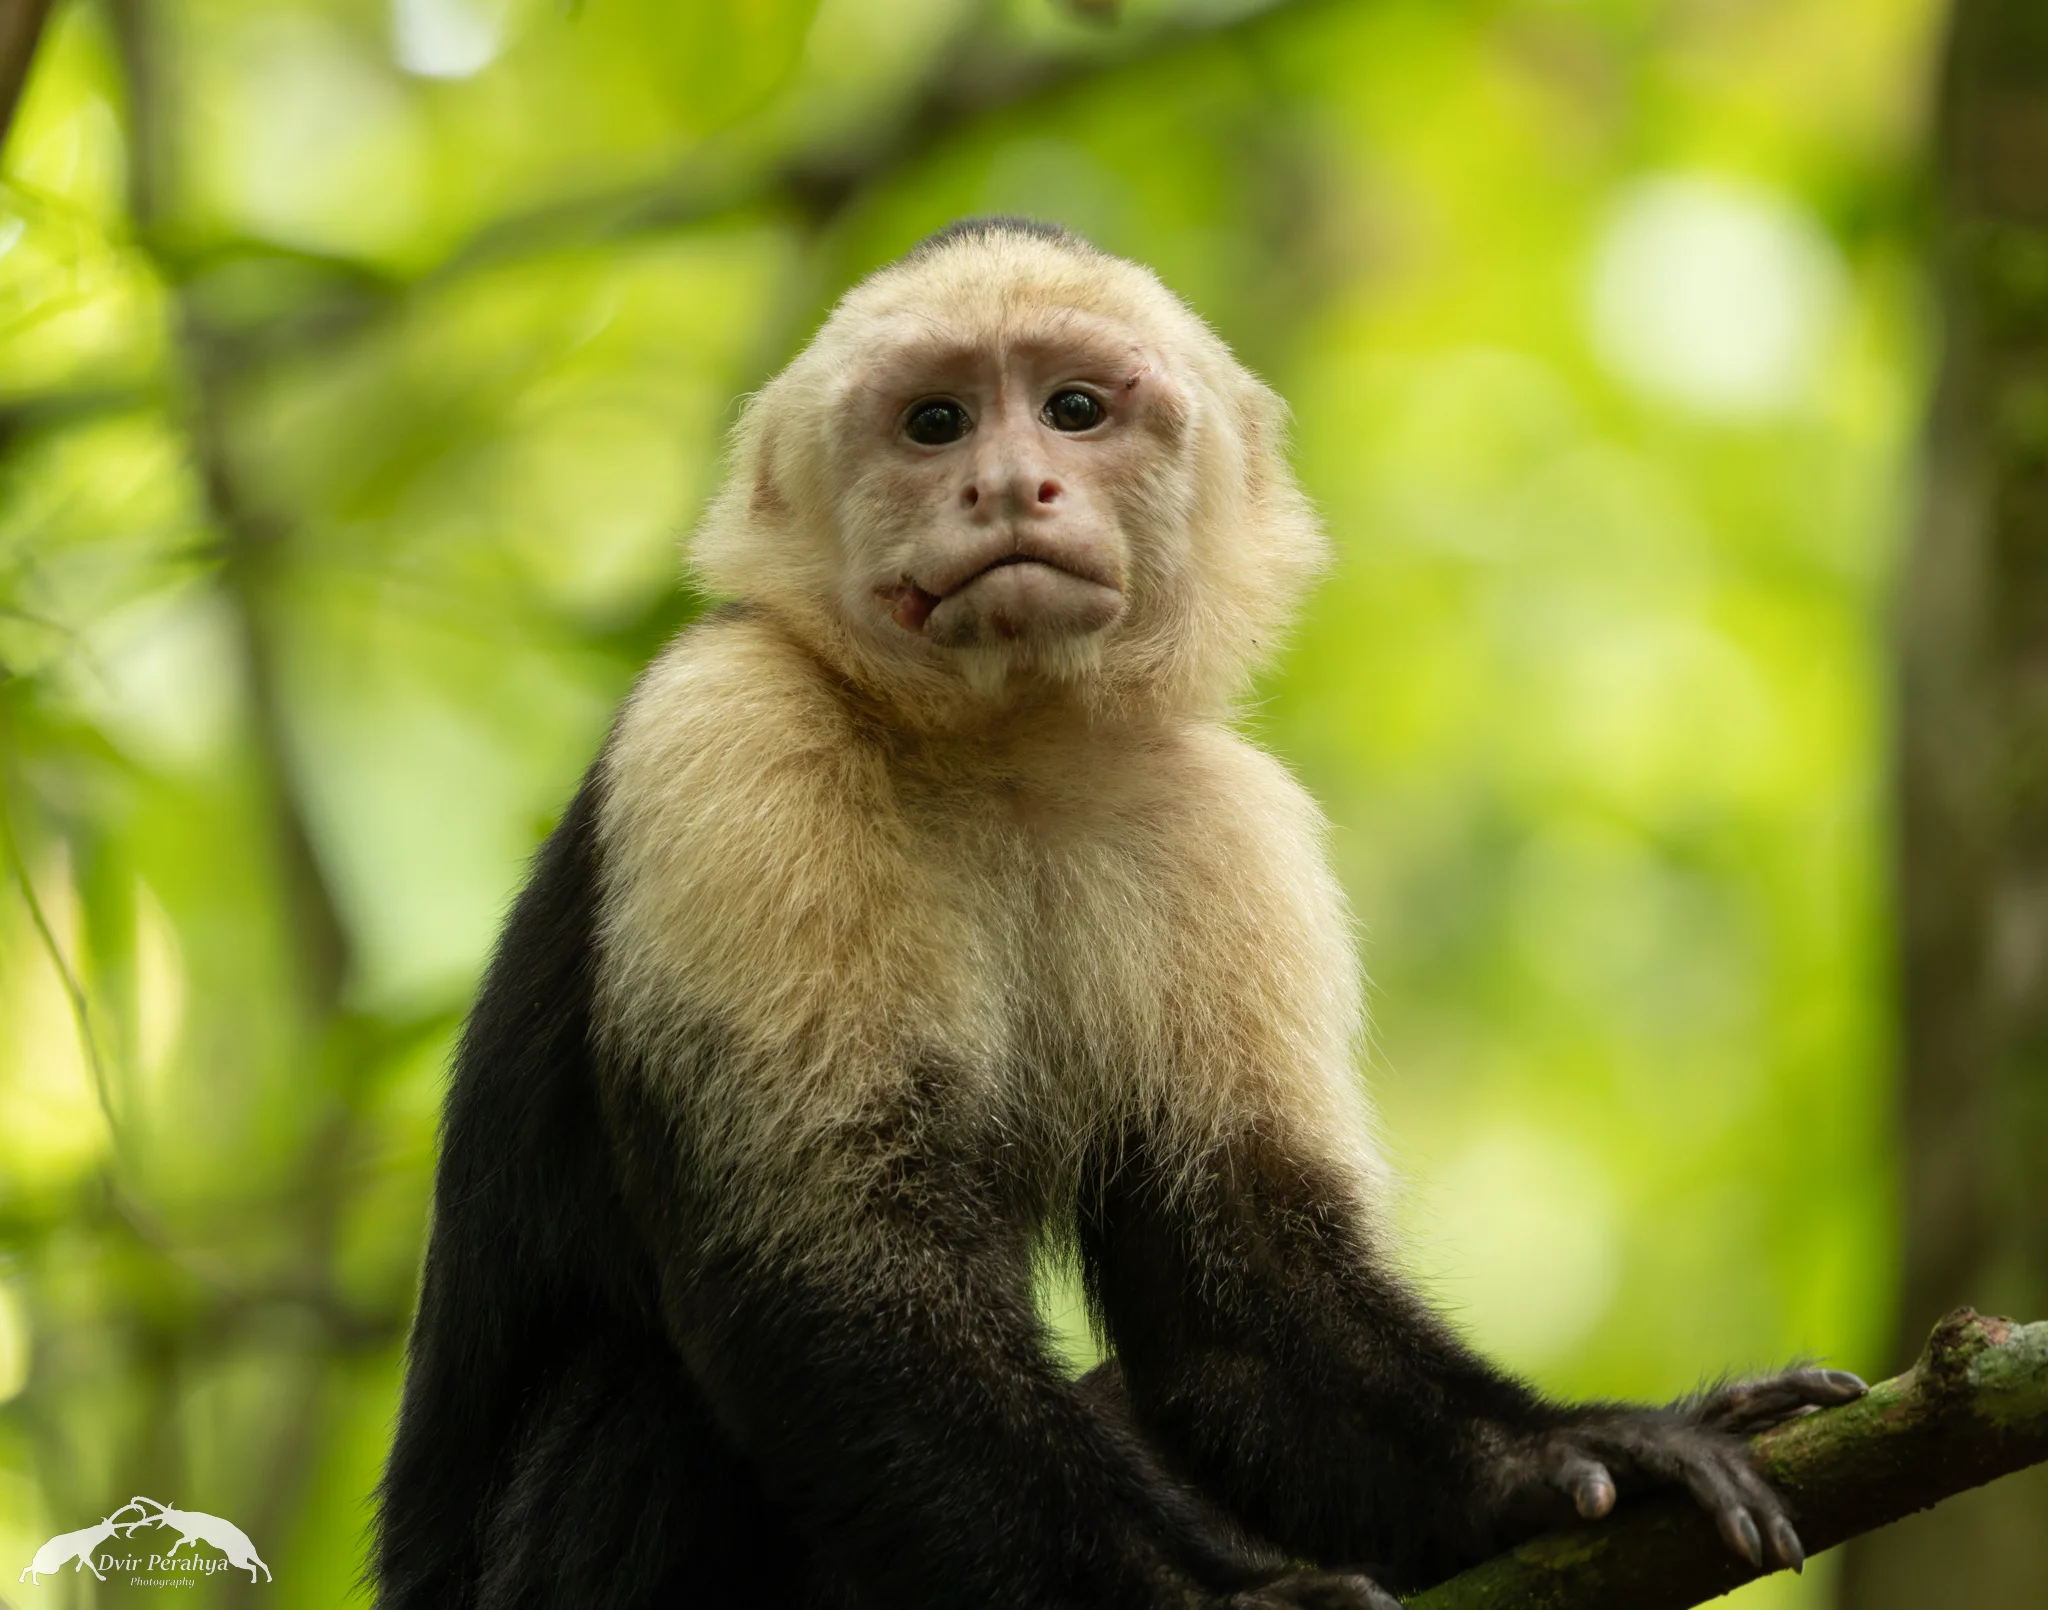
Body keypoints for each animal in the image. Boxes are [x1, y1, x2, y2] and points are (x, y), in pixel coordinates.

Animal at [372, 217, 1866, 1610]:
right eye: (935, 422)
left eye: (1074, 409)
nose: (1006, 483)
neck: (1004, 749)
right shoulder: (729, 736)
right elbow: (839, 1281)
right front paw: (1216, 1600)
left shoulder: (1227, 827)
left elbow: (1238, 1300)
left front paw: (1561, 1458)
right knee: (642, 1399)